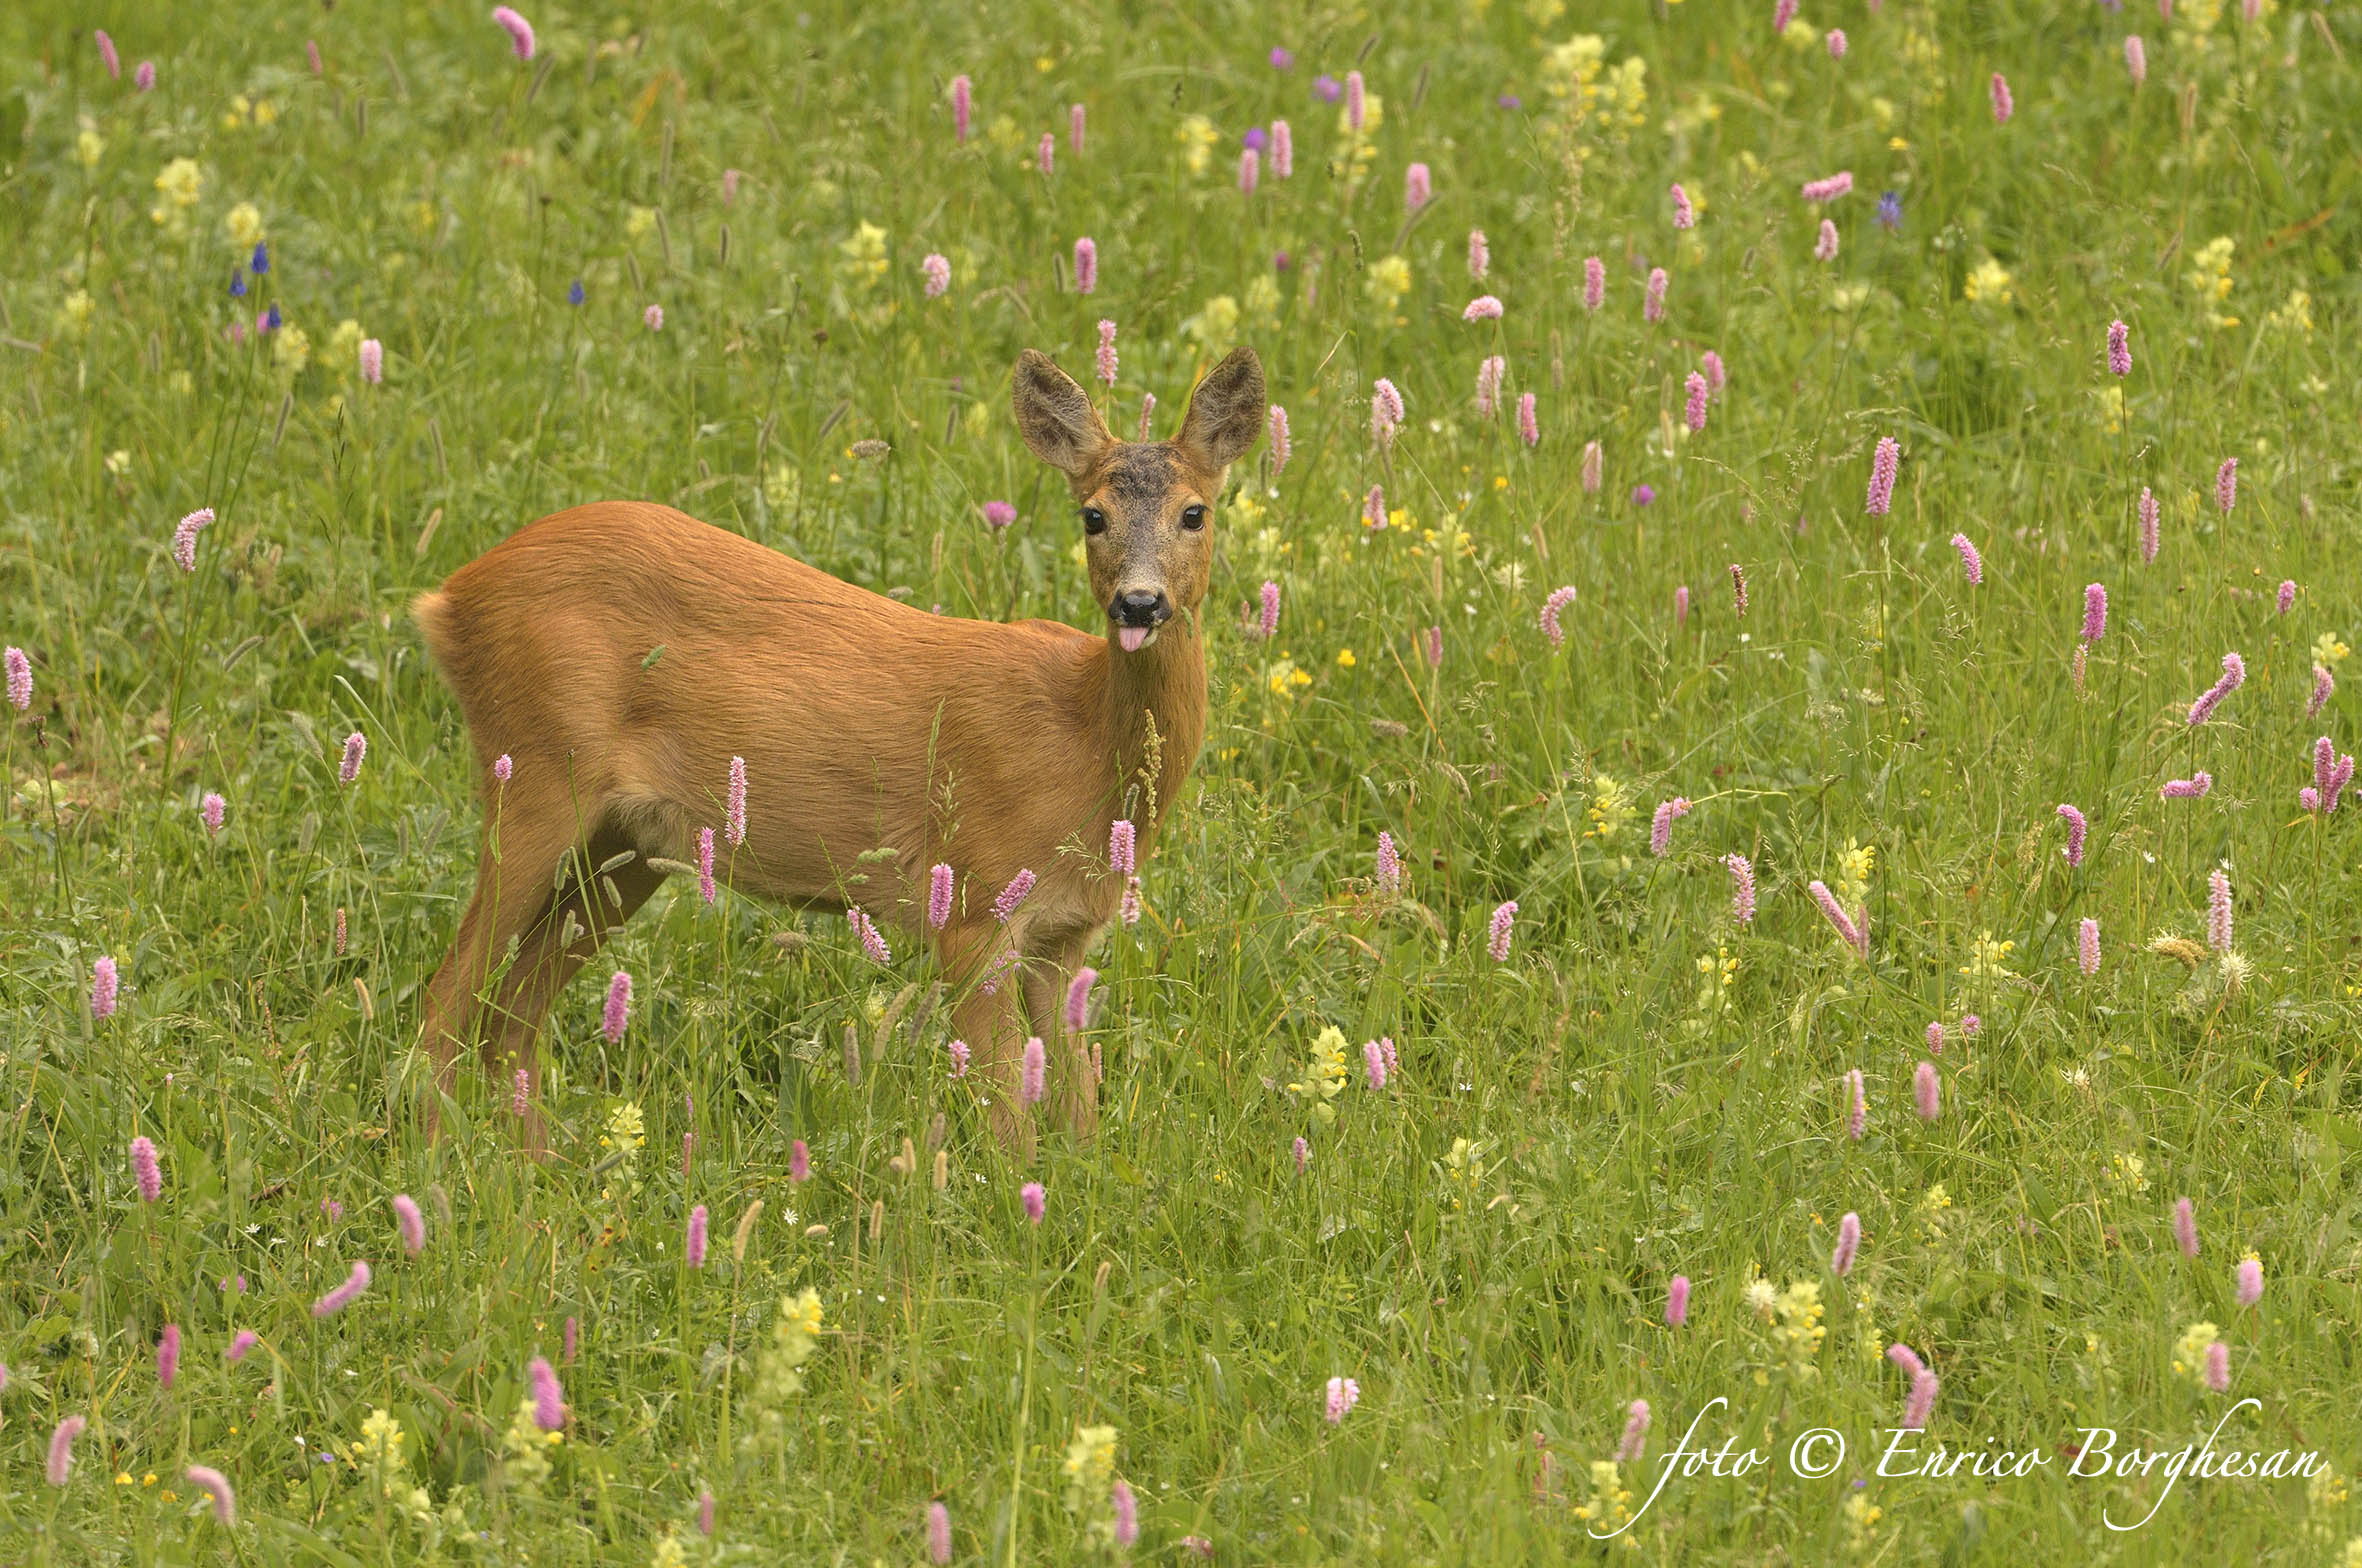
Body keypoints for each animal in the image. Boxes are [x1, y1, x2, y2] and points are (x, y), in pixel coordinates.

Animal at [410, 345, 1265, 1155]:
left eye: (1194, 512)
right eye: (1092, 516)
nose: (1139, 602)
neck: (1081, 739)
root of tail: (449, 599)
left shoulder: (1066, 935)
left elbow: (1074, 1104)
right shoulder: (975, 902)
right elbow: (1006, 1120)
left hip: (629, 845)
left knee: (511, 1016)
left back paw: (540, 1169)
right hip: (534, 771)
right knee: (445, 1002)